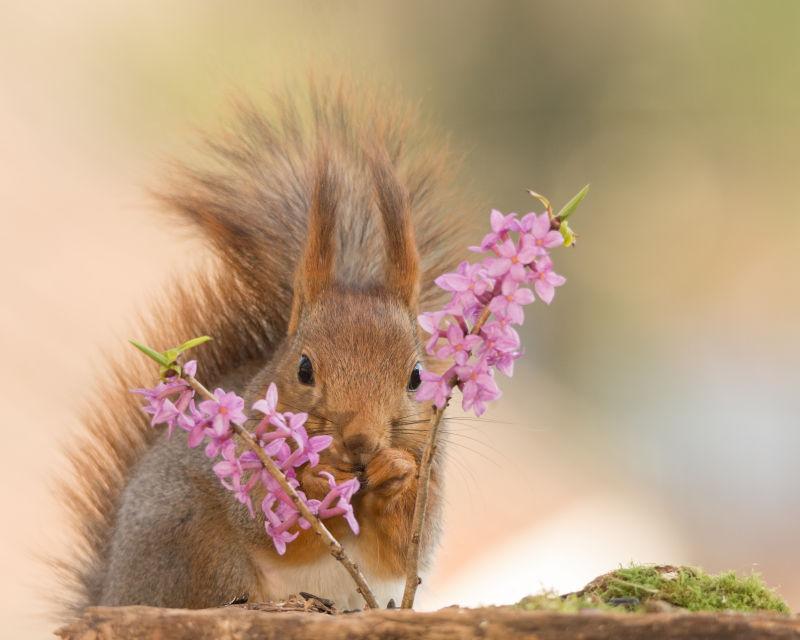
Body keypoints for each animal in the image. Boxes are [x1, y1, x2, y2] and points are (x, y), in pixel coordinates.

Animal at [61, 80, 468, 616]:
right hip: (197, 545)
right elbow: (275, 527)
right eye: (303, 369)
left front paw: (396, 471)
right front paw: (310, 482)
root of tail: (111, 594)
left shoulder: (432, 481)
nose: (360, 441)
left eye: (418, 377)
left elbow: (403, 551)